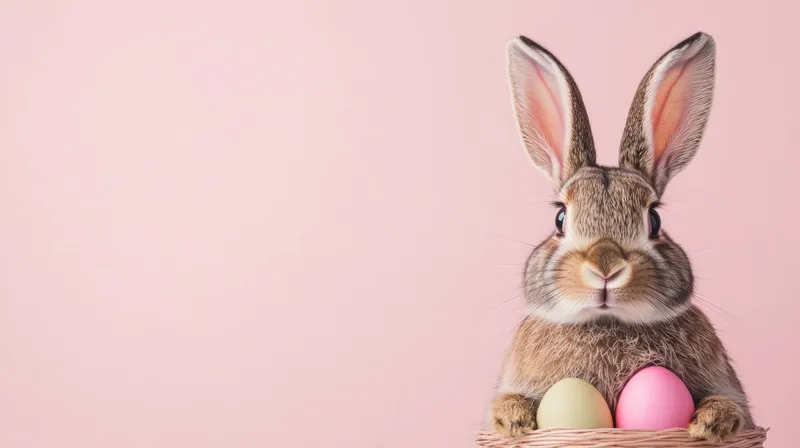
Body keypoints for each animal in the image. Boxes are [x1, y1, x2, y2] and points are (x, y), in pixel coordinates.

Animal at [489, 32, 754, 443]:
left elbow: (729, 404)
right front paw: (514, 420)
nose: (606, 268)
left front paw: (711, 424)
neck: (608, 323)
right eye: (560, 218)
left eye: (654, 219)